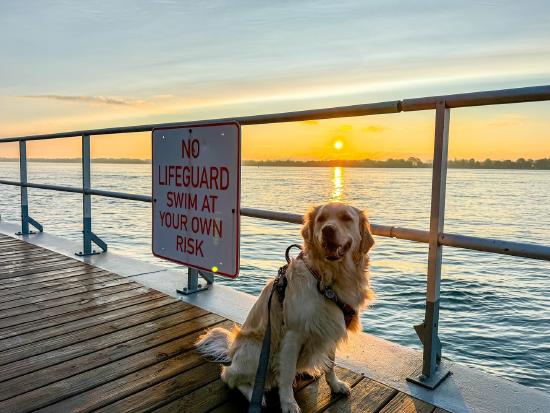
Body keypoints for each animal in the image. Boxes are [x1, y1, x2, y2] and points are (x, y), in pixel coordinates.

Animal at [196, 201, 378, 410]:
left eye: (346, 218)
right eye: (322, 219)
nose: (328, 230)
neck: (328, 278)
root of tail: (232, 351)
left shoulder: (332, 327)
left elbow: (331, 364)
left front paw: (335, 384)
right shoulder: (293, 334)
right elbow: (287, 374)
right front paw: (289, 403)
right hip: (257, 350)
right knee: (230, 376)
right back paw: (255, 395)